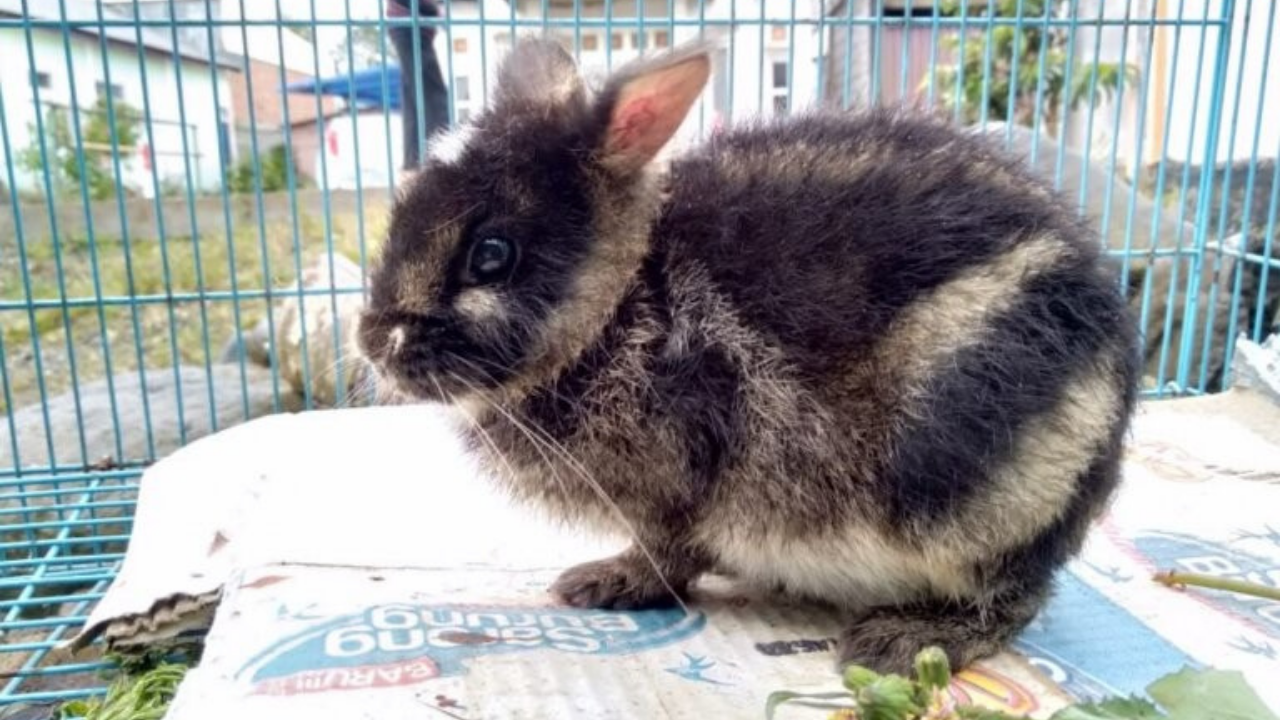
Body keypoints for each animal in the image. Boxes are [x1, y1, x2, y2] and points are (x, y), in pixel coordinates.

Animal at [356, 36, 1141, 675]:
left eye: (491, 255)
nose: (373, 345)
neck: (624, 298)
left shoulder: (682, 485)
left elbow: (668, 553)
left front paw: (605, 583)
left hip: (954, 477)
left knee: (1016, 595)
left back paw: (910, 640)